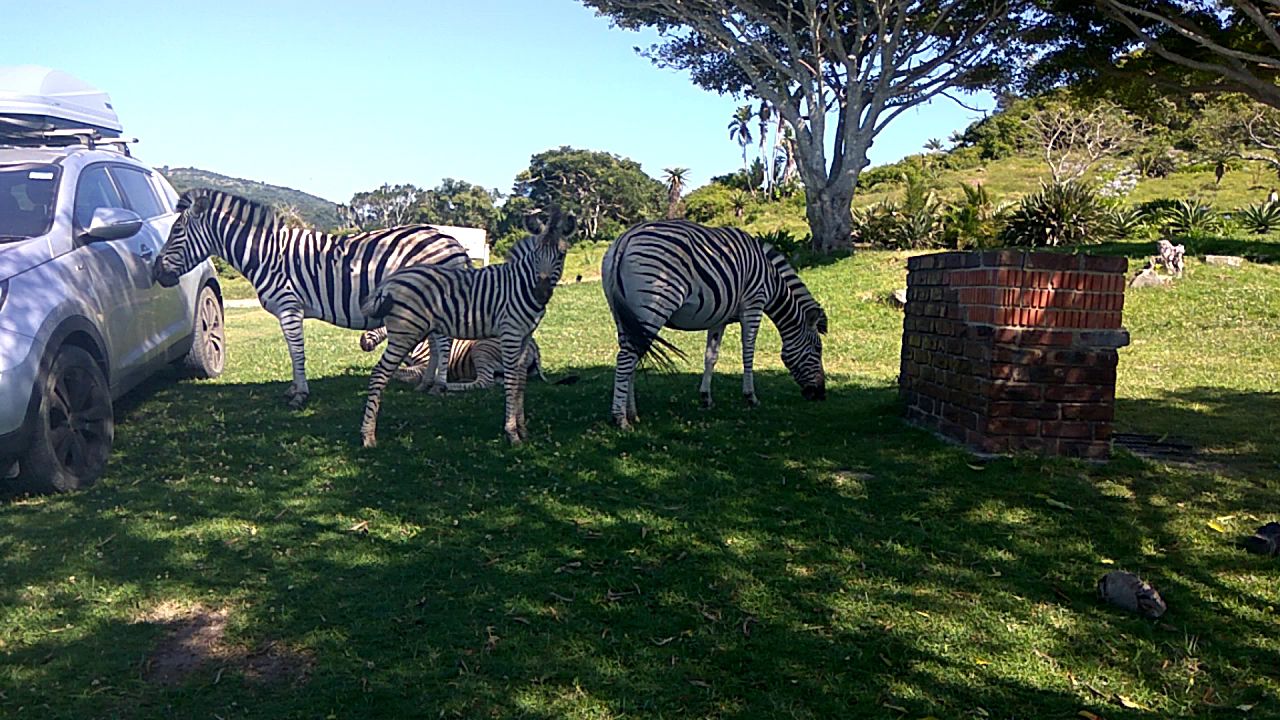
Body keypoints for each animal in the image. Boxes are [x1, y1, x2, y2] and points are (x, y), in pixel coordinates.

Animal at [151, 188, 471, 407]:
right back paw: (426, 384)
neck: (266, 254)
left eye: (176, 231)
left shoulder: (289, 306)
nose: (155, 271)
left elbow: (296, 351)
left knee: (443, 341)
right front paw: (294, 389)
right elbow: (293, 352)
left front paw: (300, 395)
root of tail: (452, 240)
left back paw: (439, 386)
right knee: (435, 339)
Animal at [360, 206, 581, 443]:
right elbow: (512, 381)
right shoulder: (510, 333)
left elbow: (520, 381)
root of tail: (390, 280)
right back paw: (368, 436)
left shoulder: (525, 336)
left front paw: (523, 429)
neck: (520, 285)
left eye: (561, 255)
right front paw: (512, 433)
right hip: (405, 332)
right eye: (535, 255)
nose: (541, 293)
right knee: (380, 373)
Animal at [601, 219, 829, 425]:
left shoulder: (719, 318)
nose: (821, 395)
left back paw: (632, 414)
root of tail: (624, 239)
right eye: (817, 349)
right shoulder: (753, 305)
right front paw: (750, 397)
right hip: (654, 304)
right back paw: (620, 418)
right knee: (627, 357)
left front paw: (706, 398)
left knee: (631, 357)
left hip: (624, 316)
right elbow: (748, 352)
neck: (771, 281)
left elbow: (711, 357)